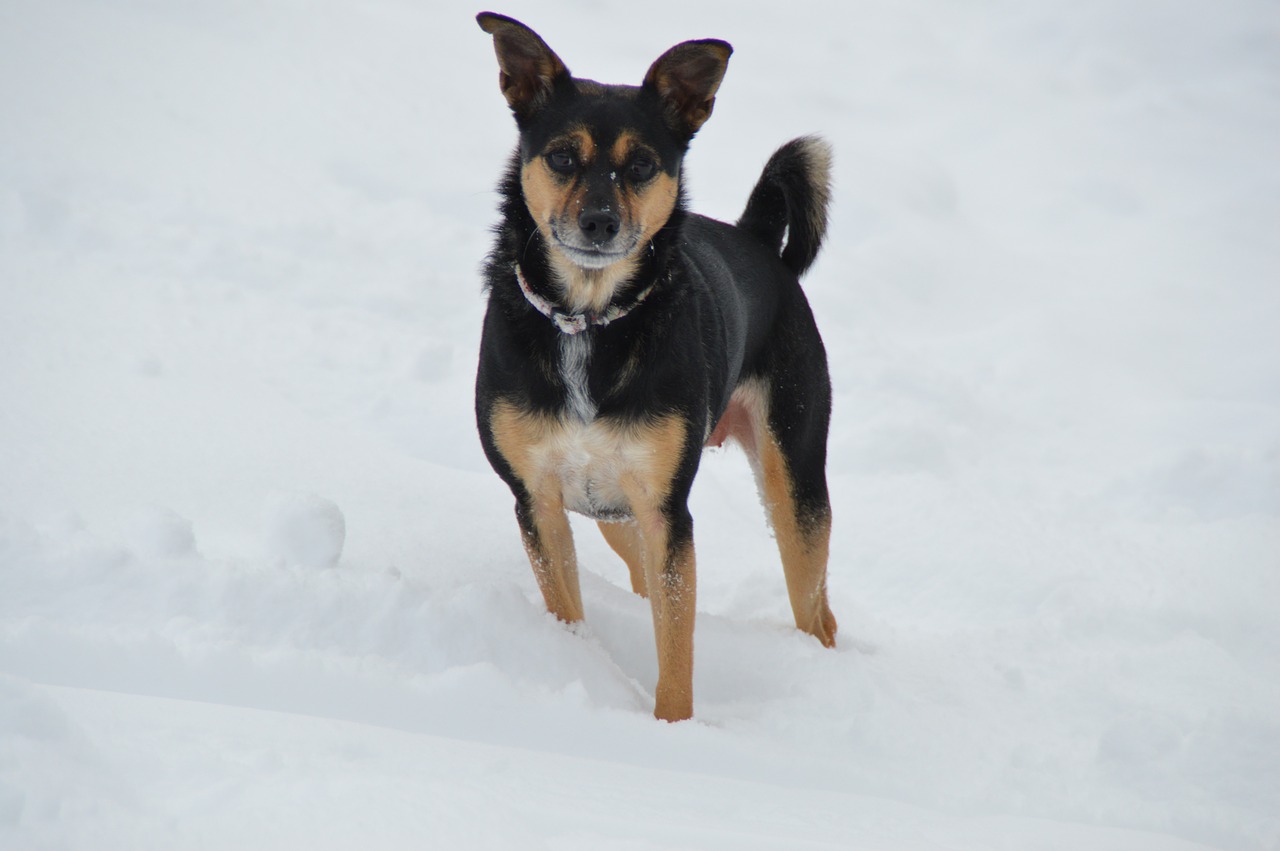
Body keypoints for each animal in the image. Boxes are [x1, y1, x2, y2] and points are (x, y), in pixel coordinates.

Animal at [476, 9, 834, 721]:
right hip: (615, 510)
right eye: (562, 156)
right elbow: (568, 608)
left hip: (794, 475)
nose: (598, 222)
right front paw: (578, 662)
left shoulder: (668, 512)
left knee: (815, 602)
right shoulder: (539, 500)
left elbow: (676, 645)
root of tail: (757, 240)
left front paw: (672, 727)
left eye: (641, 165)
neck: (588, 320)